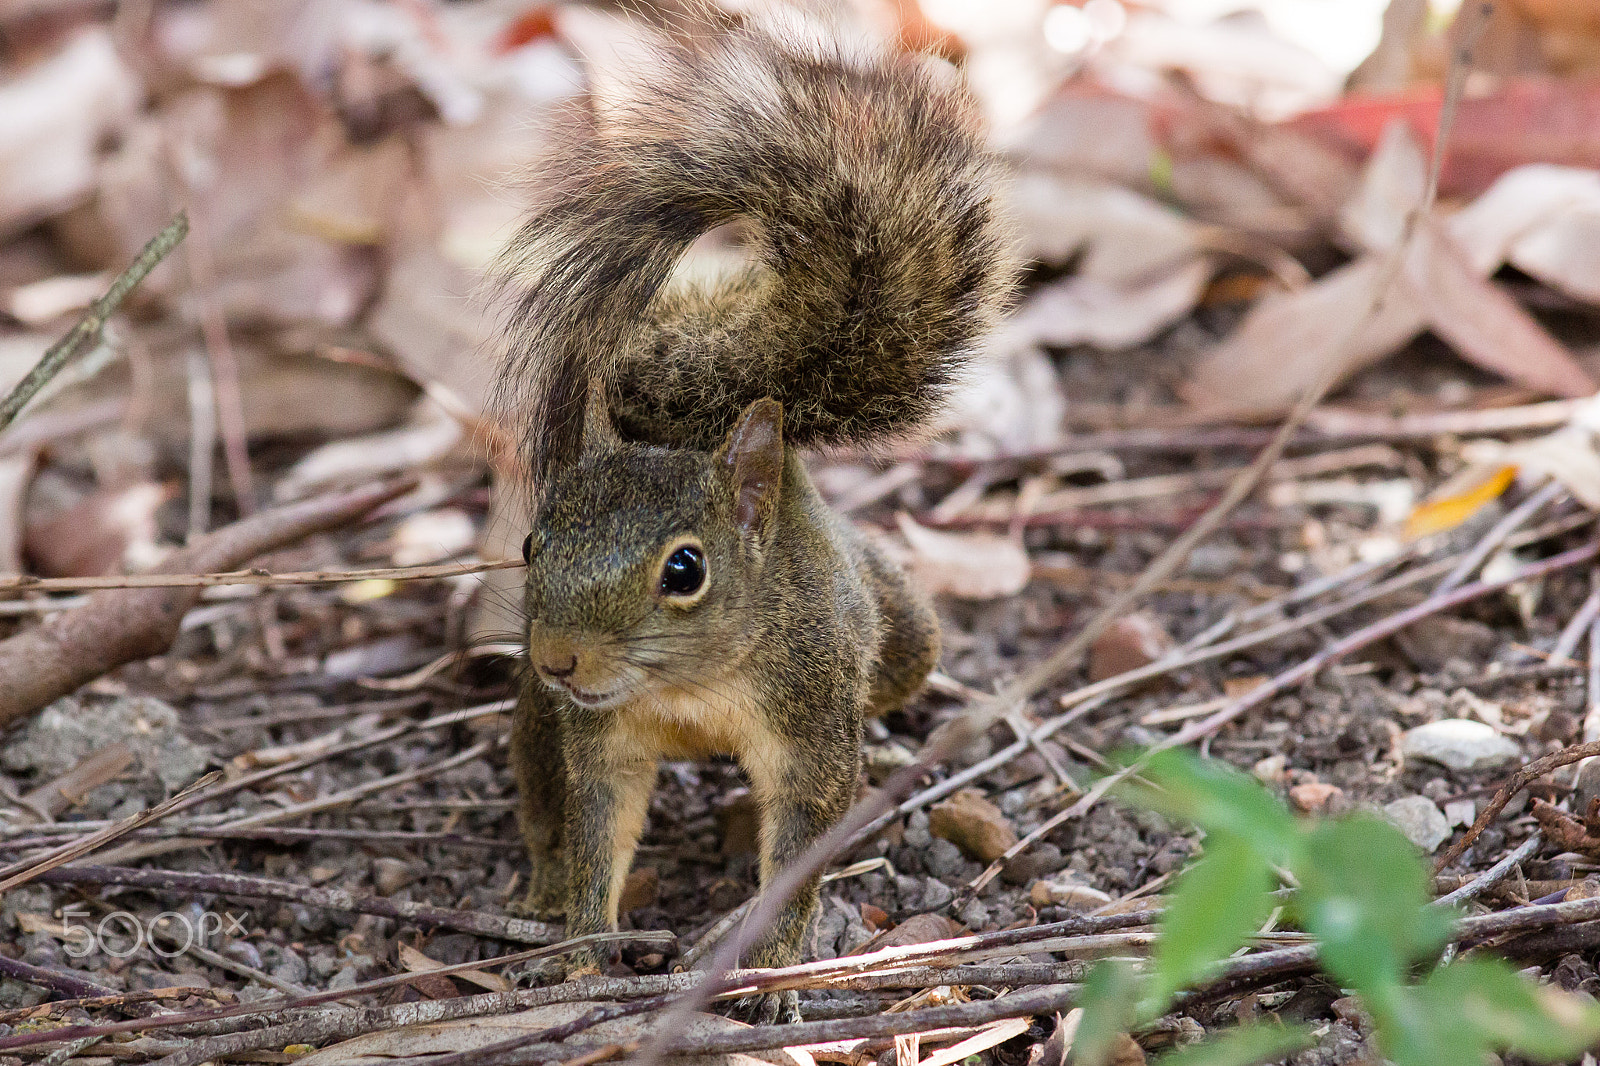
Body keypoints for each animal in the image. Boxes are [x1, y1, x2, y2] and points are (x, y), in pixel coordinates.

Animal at [496, 17, 1013, 1023]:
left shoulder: (810, 722)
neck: (692, 687)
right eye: (534, 543)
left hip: (901, 638)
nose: (560, 658)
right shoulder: (600, 741)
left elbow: (803, 843)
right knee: (540, 802)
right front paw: (580, 947)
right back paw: (533, 890)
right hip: (537, 717)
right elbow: (594, 829)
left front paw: (771, 971)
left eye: (685, 570)